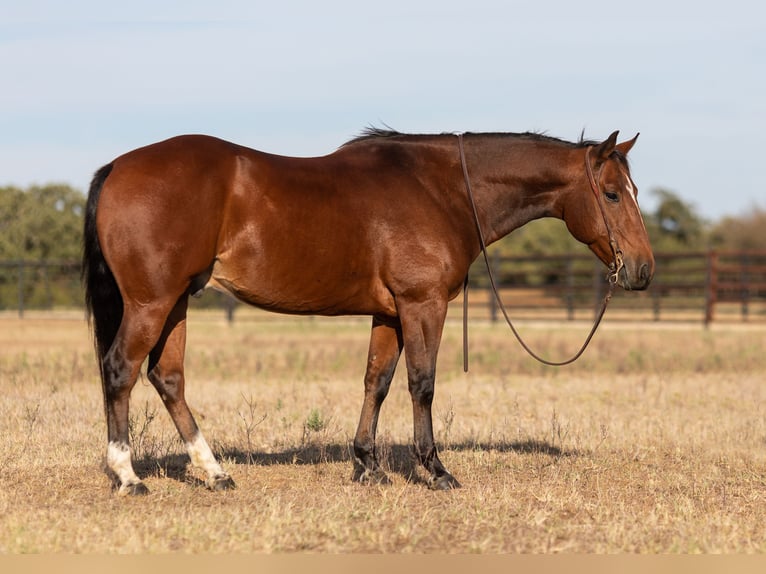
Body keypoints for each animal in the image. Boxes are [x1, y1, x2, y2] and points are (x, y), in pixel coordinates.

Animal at [84, 129, 656, 496]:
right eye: (611, 194)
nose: (643, 270)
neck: (443, 189)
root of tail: (117, 167)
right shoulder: (422, 305)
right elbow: (422, 384)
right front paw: (436, 471)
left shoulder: (390, 313)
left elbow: (376, 382)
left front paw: (367, 467)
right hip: (152, 303)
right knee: (121, 370)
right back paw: (128, 476)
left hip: (177, 302)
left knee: (168, 377)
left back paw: (215, 473)